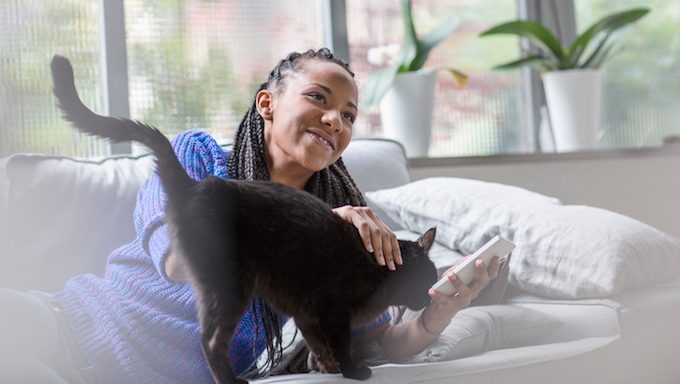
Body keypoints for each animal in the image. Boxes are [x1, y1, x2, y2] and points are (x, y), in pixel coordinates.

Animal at [50, 55, 438, 382]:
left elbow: (318, 345)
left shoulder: (308, 313)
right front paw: (353, 371)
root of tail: (196, 186)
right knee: (208, 340)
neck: (379, 270)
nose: (429, 300)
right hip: (230, 285)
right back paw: (230, 380)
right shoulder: (333, 310)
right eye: (427, 279)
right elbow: (340, 343)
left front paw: (328, 369)